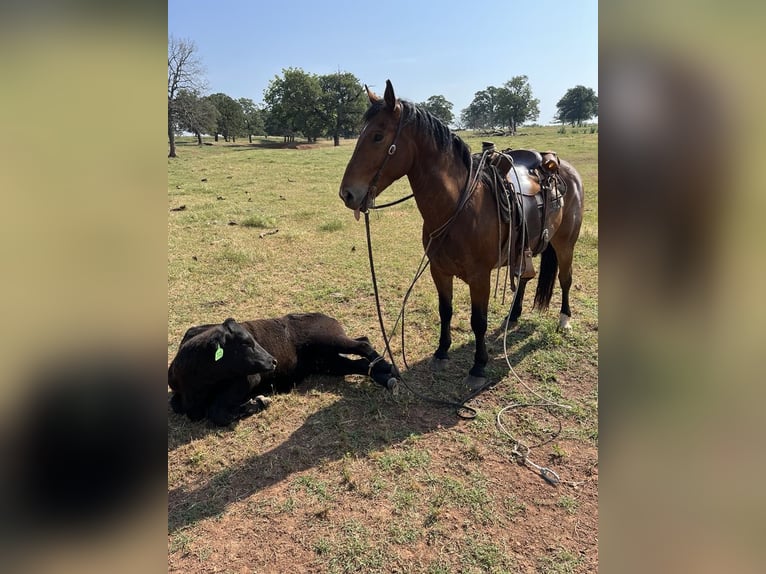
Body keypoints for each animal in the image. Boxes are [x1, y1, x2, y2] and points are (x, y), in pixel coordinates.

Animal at [340, 80, 584, 392]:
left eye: (378, 136)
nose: (347, 193)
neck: (459, 207)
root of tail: (565, 169)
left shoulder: (480, 277)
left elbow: (478, 321)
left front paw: (478, 367)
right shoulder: (439, 270)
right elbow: (446, 310)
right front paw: (441, 352)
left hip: (565, 244)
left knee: (565, 279)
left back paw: (564, 320)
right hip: (525, 249)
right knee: (524, 279)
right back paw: (513, 316)